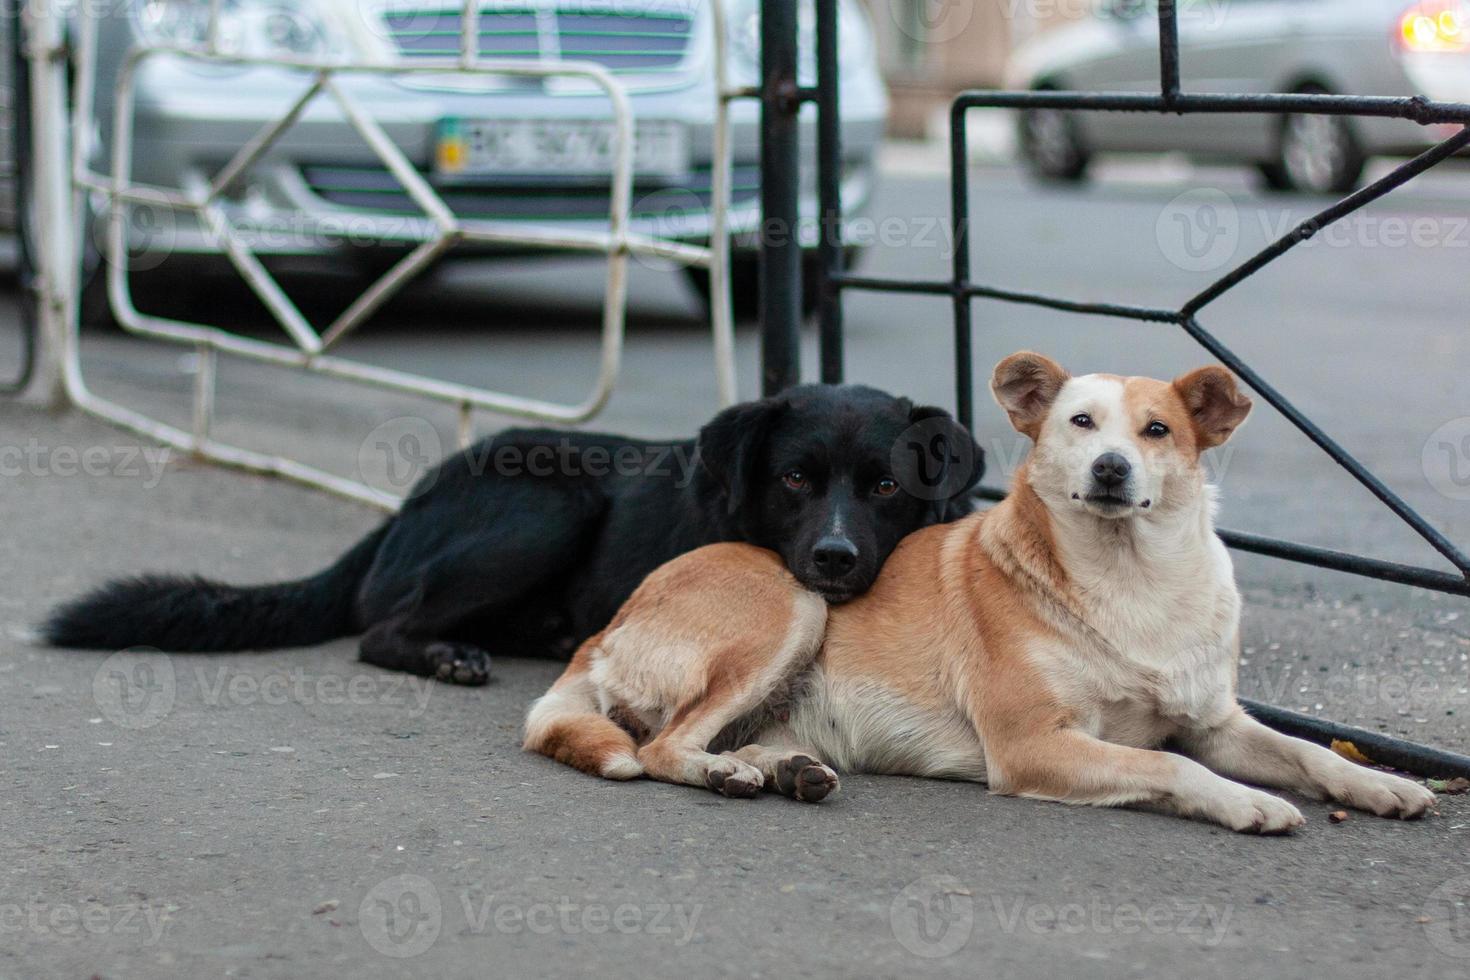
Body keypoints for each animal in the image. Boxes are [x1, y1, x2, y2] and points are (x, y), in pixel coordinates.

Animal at [45, 382, 981, 681]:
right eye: (793, 480)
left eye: (886, 486)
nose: (834, 556)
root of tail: (407, 503)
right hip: (548, 505)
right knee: (379, 629)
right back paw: (448, 656)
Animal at [526, 357, 1434, 834]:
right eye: (1078, 423)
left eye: (1157, 430)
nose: (1112, 469)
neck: (1133, 581)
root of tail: (613, 622)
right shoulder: (1037, 746)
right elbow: (1166, 761)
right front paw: (1247, 801)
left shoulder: (1217, 720)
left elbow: (1304, 751)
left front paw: (1376, 784)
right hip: (798, 607)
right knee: (661, 746)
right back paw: (727, 776)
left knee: (722, 740)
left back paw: (782, 769)